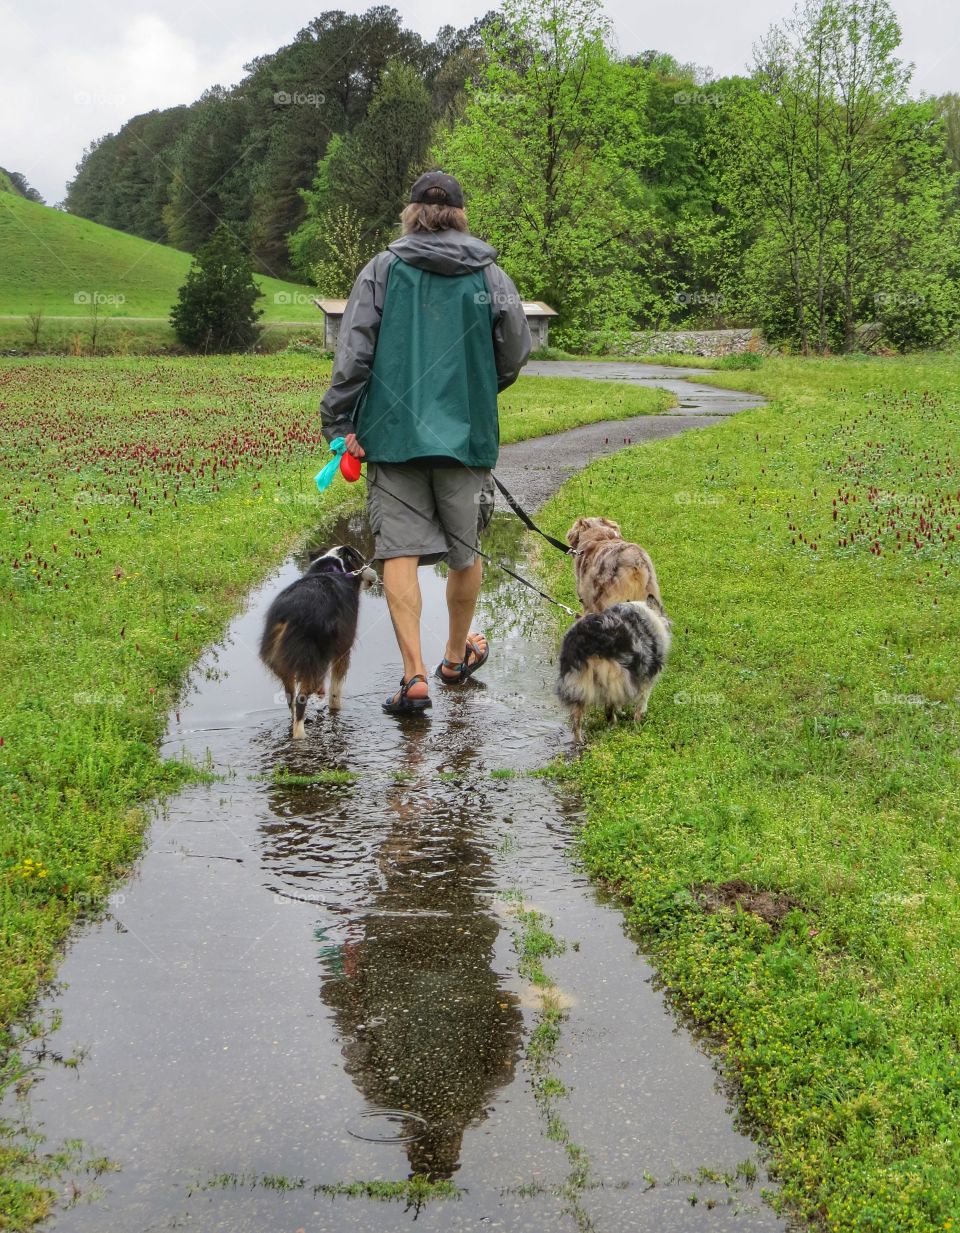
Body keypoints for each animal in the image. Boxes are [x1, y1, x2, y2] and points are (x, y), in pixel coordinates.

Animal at [258, 547, 379, 734]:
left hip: (286, 663)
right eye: (361, 560)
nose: (375, 574)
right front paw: (335, 711)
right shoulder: (342, 649)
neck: (332, 569)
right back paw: (301, 735)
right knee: (300, 700)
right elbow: (335, 690)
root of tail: (289, 615)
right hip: (312, 657)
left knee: (291, 700)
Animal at [554, 596, 675, 739]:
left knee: (576, 718)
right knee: (609, 706)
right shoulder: (645, 678)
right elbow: (641, 702)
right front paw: (637, 722)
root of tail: (586, 639)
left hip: (578, 681)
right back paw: (613, 725)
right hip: (615, 675)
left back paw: (580, 740)